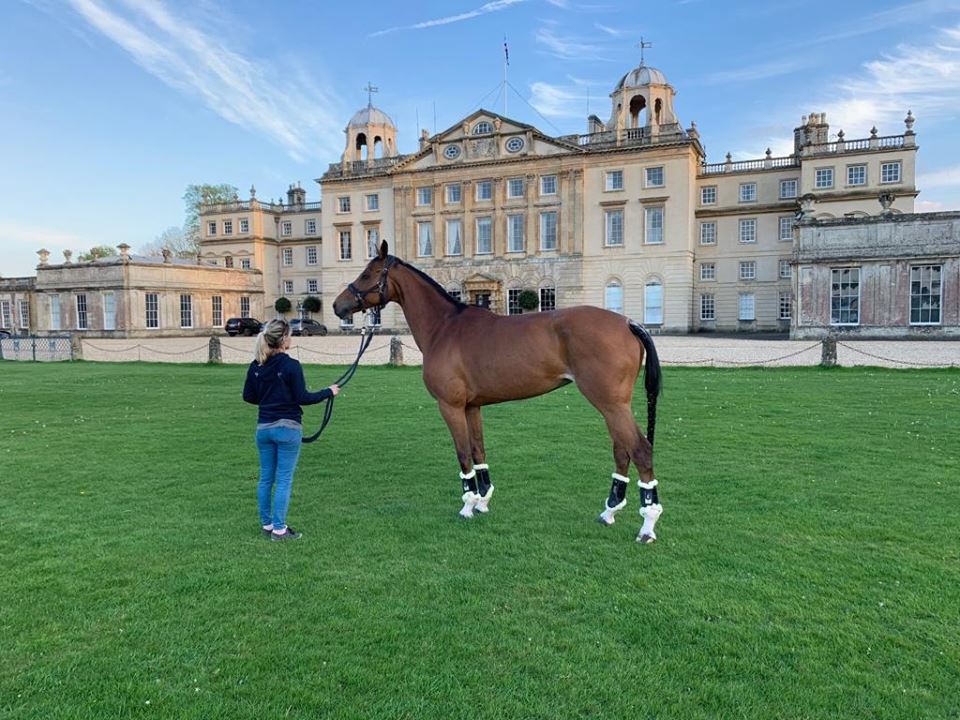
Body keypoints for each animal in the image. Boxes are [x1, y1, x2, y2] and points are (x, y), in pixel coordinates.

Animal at [334, 242, 664, 540]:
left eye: (367, 273)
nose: (338, 306)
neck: (444, 327)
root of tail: (627, 322)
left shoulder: (450, 406)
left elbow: (463, 453)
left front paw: (467, 505)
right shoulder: (472, 406)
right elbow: (478, 450)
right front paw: (482, 501)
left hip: (610, 404)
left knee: (640, 451)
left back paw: (647, 526)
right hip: (614, 406)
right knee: (622, 451)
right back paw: (609, 512)